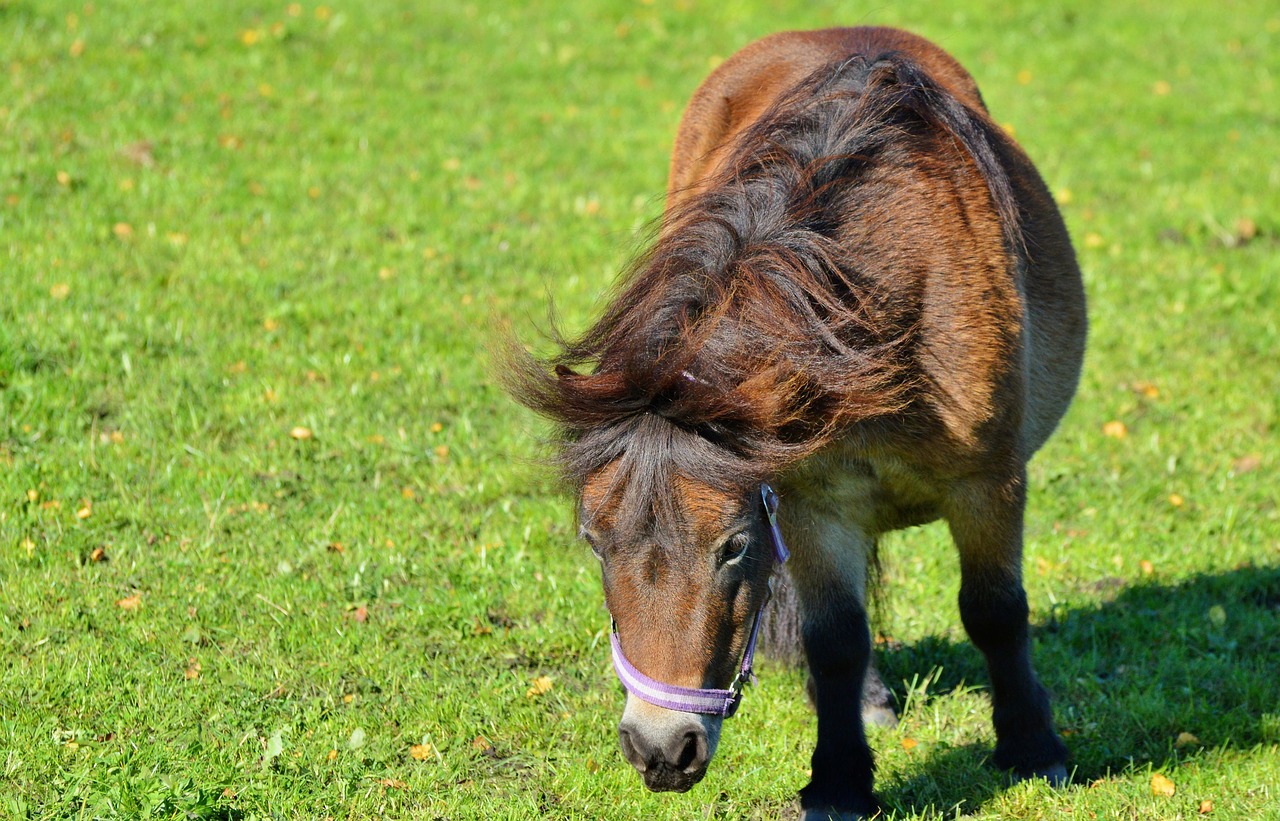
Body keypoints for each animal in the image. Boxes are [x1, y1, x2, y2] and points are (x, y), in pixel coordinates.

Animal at [504, 27, 1085, 819]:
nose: (660, 750)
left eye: (733, 547)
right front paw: (840, 779)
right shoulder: (812, 501)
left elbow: (995, 611)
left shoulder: (988, 482)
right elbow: (835, 637)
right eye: (595, 544)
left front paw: (1033, 748)